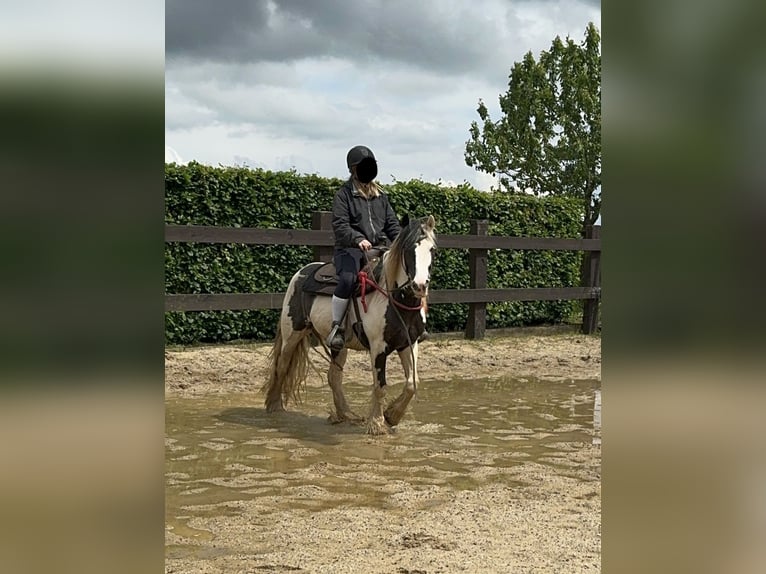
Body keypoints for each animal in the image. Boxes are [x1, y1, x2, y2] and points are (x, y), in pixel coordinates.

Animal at [260, 216, 438, 436]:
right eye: (407, 249)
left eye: (432, 249)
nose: (419, 286)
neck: (392, 298)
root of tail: (302, 272)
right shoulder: (378, 348)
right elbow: (380, 386)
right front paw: (377, 423)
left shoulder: (409, 343)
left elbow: (412, 384)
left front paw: (392, 416)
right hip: (292, 334)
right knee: (282, 366)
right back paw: (275, 406)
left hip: (339, 345)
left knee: (334, 377)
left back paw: (345, 414)